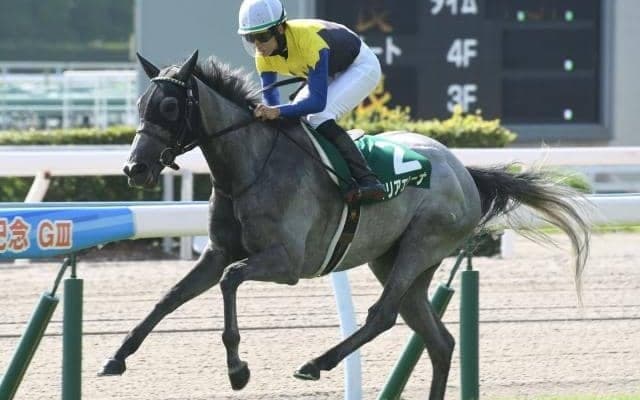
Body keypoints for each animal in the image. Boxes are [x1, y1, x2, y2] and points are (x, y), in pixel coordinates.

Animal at [100, 50, 591, 400]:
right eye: (141, 104)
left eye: (168, 105)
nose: (134, 169)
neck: (248, 167)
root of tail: (463, 170)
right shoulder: (219, 250)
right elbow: (170, 297)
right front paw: (116, 358)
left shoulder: (287, 263)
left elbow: (229, 280)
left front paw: (238, 370)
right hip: (396, 260)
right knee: (439, 341)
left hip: (422, 244)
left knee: (383, 315)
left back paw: (316, 363)